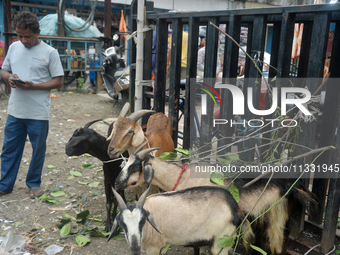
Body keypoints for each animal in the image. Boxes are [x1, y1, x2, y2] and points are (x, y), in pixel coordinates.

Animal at [107, 185, 254, 255]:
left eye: (143, 221)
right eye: (122, 224)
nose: (134, 246)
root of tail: (235, 208)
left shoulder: (153, 248)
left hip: (221, 243)